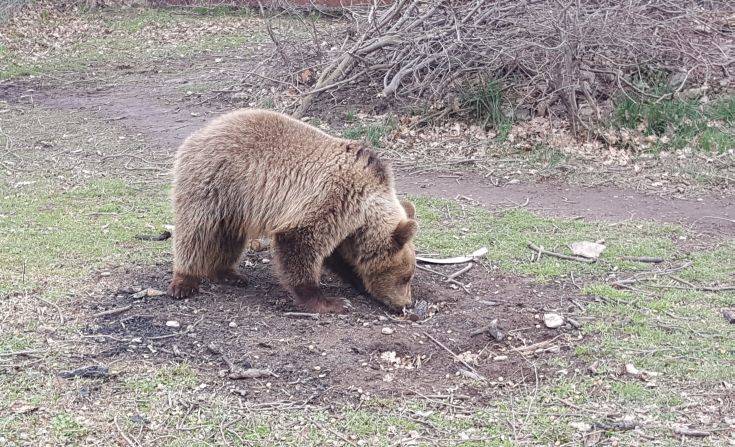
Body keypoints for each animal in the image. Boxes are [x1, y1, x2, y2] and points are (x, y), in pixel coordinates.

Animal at [168, 109, 420, 316]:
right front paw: (332, 302)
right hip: (214, 183)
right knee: (195, 232)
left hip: (235, 205)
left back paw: (229, 274)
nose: (406, 304)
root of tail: (201, 132)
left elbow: (338, 256)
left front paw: (357, 281)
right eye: (405, 277)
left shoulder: (344, 223)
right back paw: (184, 282)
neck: (364, 210)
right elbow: (299, 243)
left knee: (227, 237)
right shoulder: (332, 198)